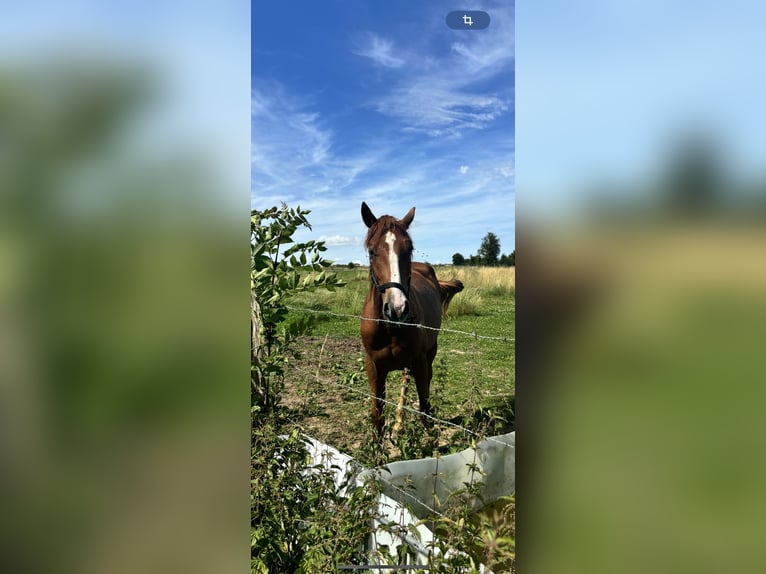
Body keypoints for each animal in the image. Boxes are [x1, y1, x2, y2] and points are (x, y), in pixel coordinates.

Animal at [358, 202, 462, 436]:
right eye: (372, 251)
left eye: (409, 249)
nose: (397, 308)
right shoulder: (374, 367)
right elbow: (377, 416)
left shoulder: (421, 362)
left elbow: (424, 406)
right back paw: (398, 421)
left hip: (430, 352)